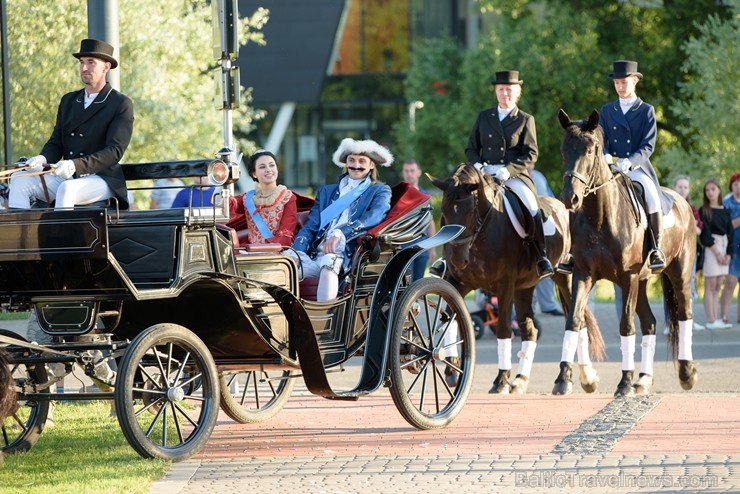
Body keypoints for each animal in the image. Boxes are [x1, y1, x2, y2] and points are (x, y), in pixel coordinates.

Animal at [430, 165, 604, 394]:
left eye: (469, 212)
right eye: (444, 212)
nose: (457, 261)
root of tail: (562, 206)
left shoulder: (505, 285)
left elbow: (503, 328)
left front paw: (501, 380)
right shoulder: (458, 282)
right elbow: (449, 319)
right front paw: (451, 371)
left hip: (564, 278)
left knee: (577, 321)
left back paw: (574, 379)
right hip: (525, 287)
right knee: (530, 329)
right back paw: (521, 380)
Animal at [556, 110, 696, 396]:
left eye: (591, 150)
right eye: (564, 149)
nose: (569, 198)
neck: (599, 217)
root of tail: (682, 201)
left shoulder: (627, 277)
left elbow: (626, 326)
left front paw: (624, 383)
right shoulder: (583, 275)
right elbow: (573, 321)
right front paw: (564, 378)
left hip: (679, 274)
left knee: (684, 314)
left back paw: (686, 373)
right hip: (641, 283)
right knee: (650, 322)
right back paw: (643, 378)